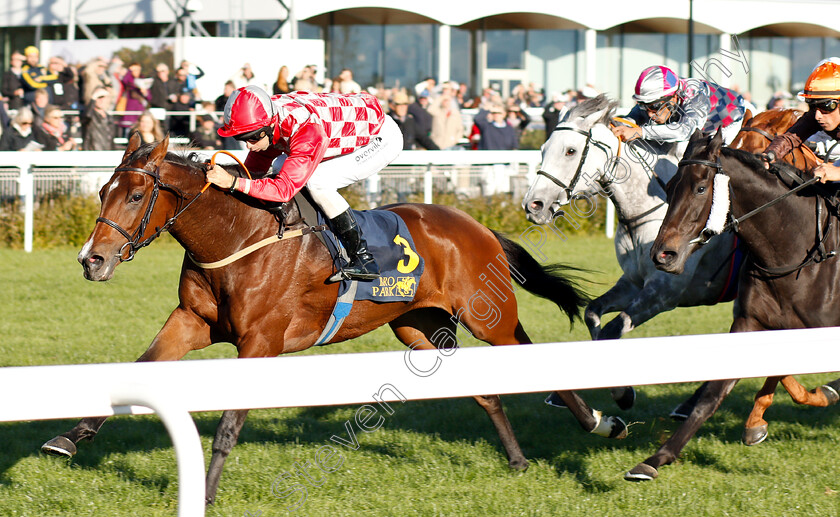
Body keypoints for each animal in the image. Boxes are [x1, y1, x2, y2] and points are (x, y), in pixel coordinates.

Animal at [41, 133, 632, 504]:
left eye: (137, 194)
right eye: (103, 191)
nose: (92, 260)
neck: (237, 237)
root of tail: (477, 225)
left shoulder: (259, 342)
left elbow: (230, 423)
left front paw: (204, 491)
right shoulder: (191, 321)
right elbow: (140, 369)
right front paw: (69, 437)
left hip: (491, 318)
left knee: (535, 360)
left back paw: (601, 423)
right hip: (418, 325)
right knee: (485, 391)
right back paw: (517, 461)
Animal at [636, 129, 840, 480]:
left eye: (700, 187)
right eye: (671, 185)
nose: (663, 254)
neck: (794, 253)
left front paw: (821, 393)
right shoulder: (752, 321)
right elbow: (715, 393)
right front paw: (657, 458)